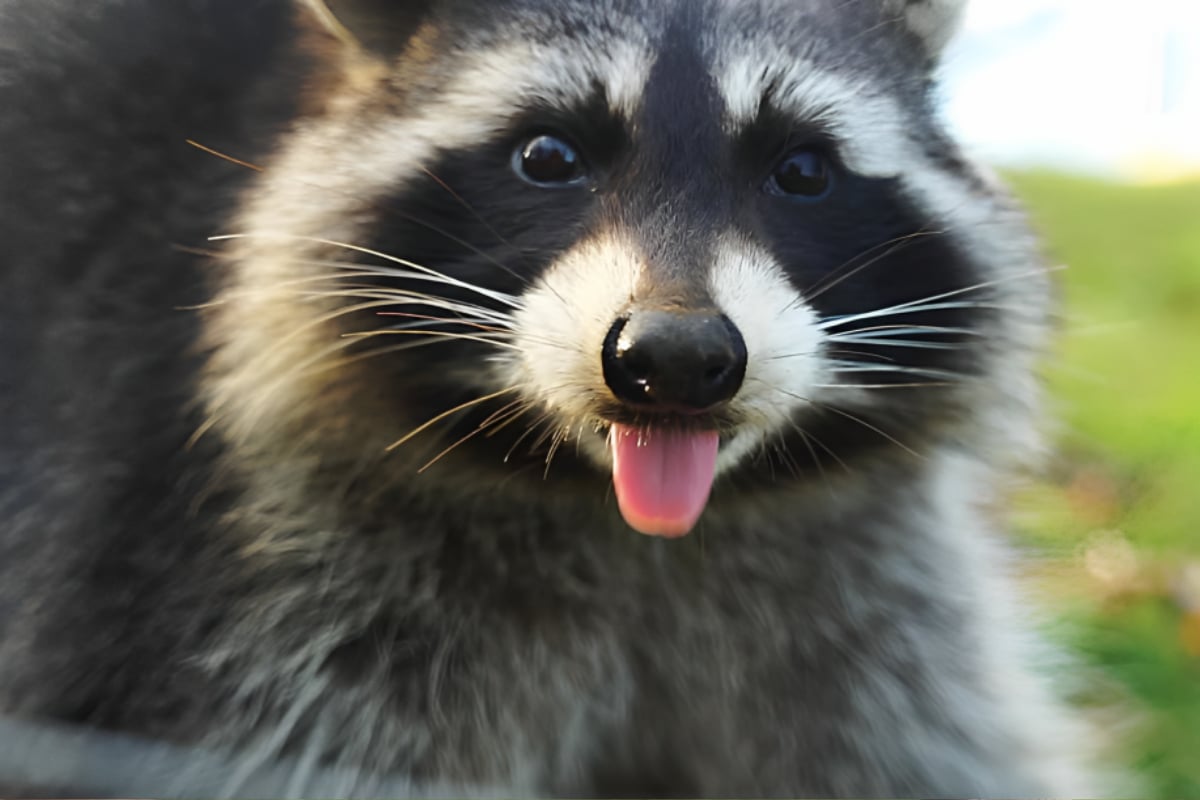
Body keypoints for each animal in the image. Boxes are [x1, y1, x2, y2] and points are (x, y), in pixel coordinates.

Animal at [0, 0, 1094, 796]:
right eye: (548, 156)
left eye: (803, 170)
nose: (676, 357)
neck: (633, 527)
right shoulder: (252, 597)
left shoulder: (858, 601)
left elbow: (917, 746)